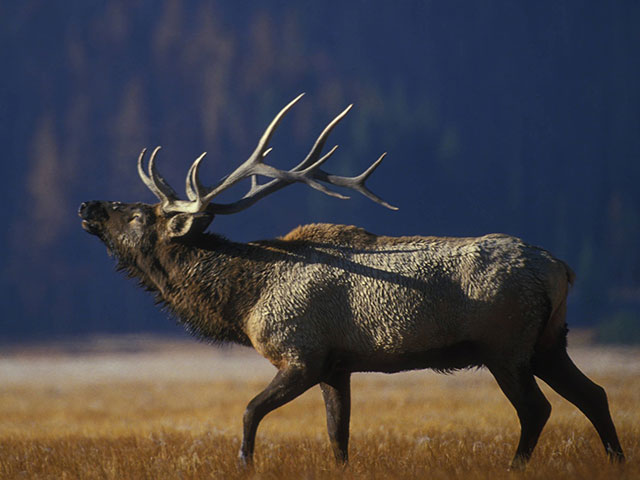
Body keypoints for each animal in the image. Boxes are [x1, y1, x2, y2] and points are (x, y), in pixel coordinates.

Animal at [80, 94, 624, 468]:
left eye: (137, 215)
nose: (88, 205)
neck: (245, 301)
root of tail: (561, 269)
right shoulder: (336, 366)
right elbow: (337, 436)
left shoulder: (301, 354)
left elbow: (250, 412)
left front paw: (245, 464)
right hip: (549, 342)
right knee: (594, 394)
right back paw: (615, 460)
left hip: (505, 346)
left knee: (536, 409)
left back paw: (515, 466)